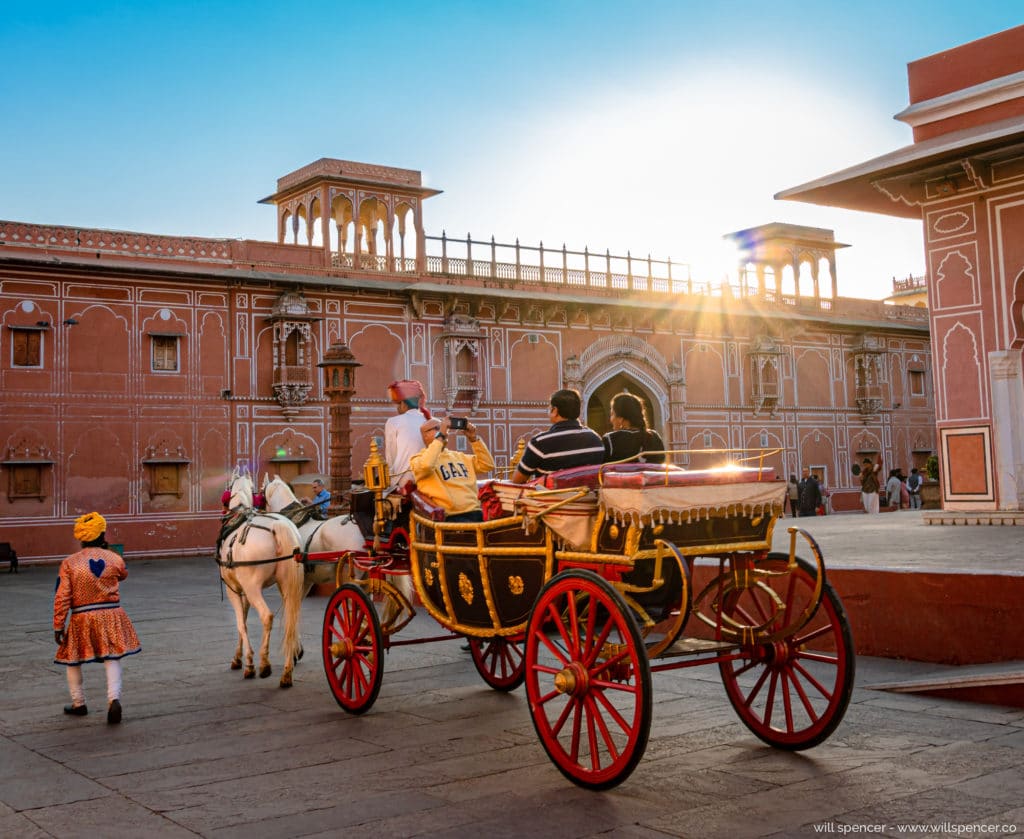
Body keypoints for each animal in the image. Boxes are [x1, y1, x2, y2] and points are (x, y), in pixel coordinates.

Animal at [219, 473, 303, 688]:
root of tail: (278, 526)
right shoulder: (244, 590)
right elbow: (244, 617)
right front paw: (238, 657)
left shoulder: (234, 589)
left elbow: (241, 623)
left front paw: (248, 663)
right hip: (288, 582)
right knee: (291, 619)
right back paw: (287, 672)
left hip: (253, 587)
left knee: (267, 616)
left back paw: (265, 664)